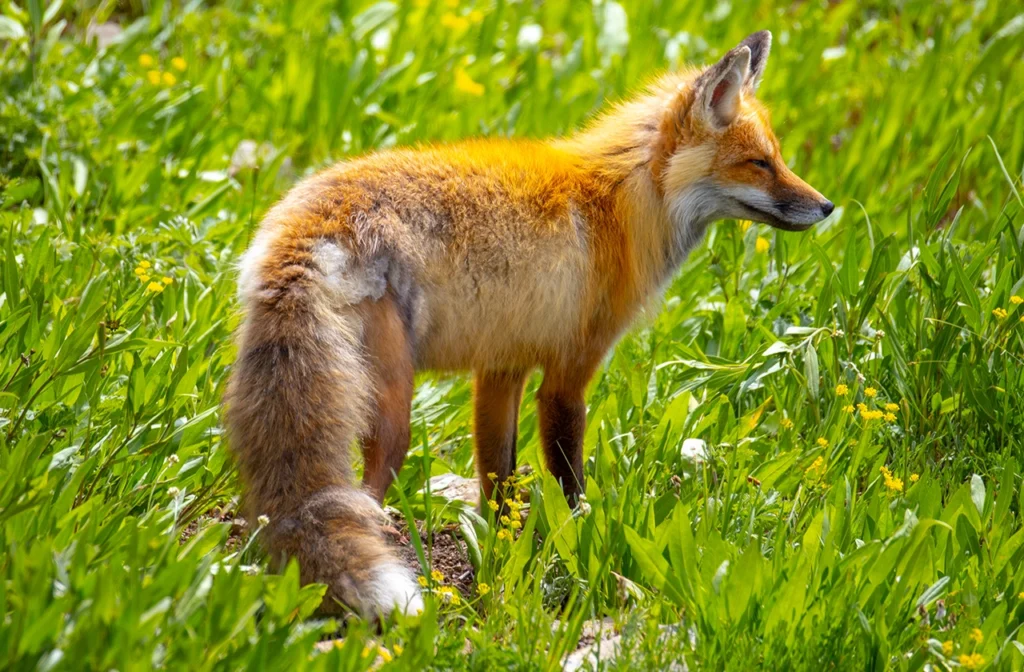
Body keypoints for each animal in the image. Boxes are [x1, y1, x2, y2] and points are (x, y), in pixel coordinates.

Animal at [225, 30, 832, 619]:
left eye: (778, 156)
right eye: (759, 163)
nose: (827, 207)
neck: (621, 204)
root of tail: (306, 225)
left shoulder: (502, 365)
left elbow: (500, 481)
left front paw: (501, 559)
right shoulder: (569, 372)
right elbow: (568, 481)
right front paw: (579, 543)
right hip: (393, 410)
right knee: (365, 494)